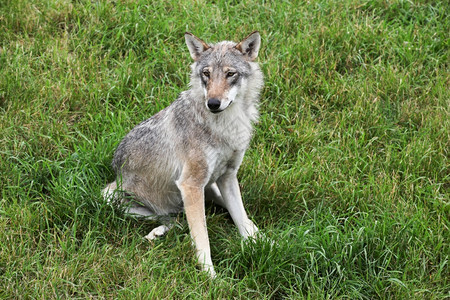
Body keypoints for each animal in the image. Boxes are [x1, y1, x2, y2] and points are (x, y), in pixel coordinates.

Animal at [102, 31, 264, 276]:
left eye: (230, 74)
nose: (213, 103)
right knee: (173, 219)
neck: (226, 125)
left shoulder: (227, 177)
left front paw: (258, 245)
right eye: (206, 74)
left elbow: (240, 218)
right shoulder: (191, 185)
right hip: (112, 196)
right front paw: (210, 277)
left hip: (210, 186)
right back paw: (158, 231)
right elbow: (202, 238)